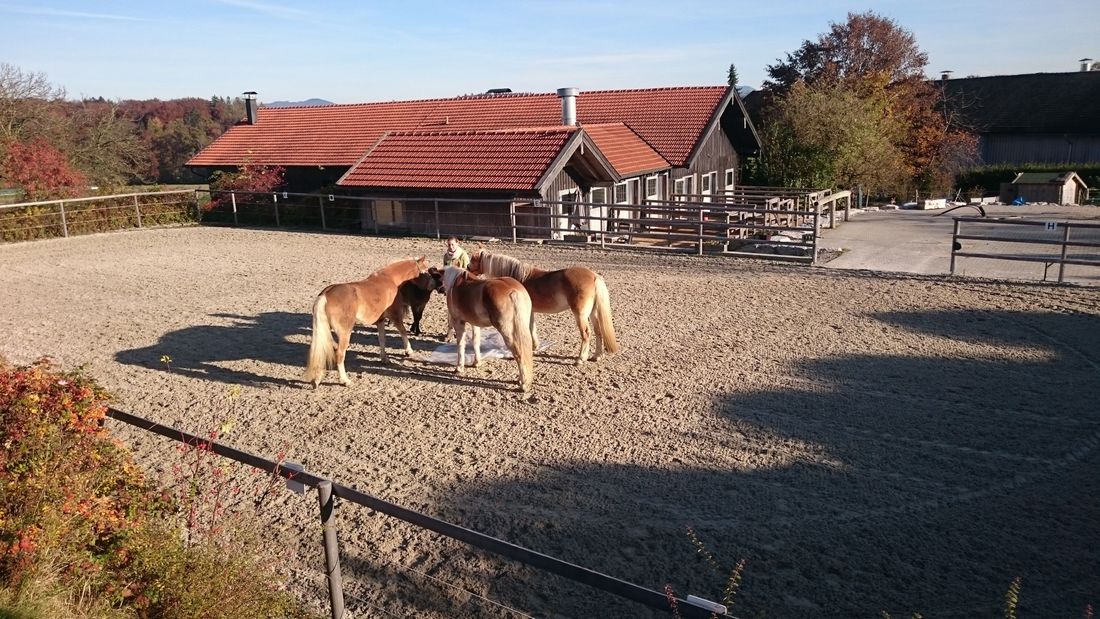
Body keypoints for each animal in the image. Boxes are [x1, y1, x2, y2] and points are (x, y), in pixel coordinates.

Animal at [304, 256, 430, 388]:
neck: (390, 279)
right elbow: (403, 332)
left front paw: (385, 359)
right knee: (339, 354)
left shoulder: (380, 320)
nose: (428, 289)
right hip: (345, 333)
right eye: (425, 272)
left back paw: (316, 380)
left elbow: (382, 339)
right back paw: (345, 380)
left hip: (324, 330)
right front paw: (409, 351)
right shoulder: (395, 317)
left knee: (322, 350)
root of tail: (325, 295)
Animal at [468, 249, 618, 365]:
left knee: (586, 334)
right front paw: (535, 346)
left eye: (473, 260)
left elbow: (529, 328)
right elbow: (532, 328)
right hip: (593, 313)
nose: (467, 268)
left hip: (580, 314)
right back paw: (596, 356)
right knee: (598, 331)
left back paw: (580, 359)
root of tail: (593, 276)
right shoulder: (531, 311)